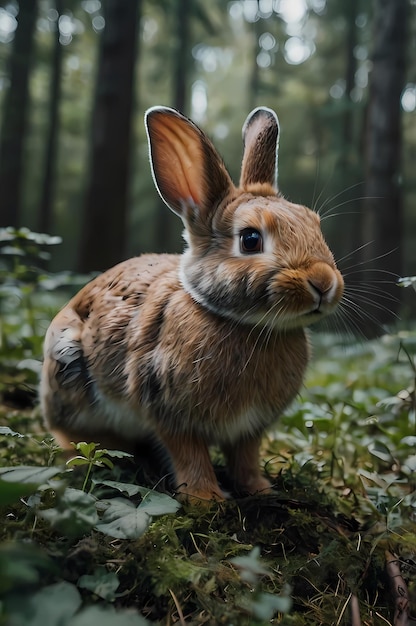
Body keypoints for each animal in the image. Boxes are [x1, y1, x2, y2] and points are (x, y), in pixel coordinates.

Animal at [39, 105, 344, 500]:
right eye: (250, 240)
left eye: (315, 225)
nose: (323, 283)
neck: (245, 324)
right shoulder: (170, 412)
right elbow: (189, 455)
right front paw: (205, 499)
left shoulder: (249, 429)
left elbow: (245, 457)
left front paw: (260, 490)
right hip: (67, 367)